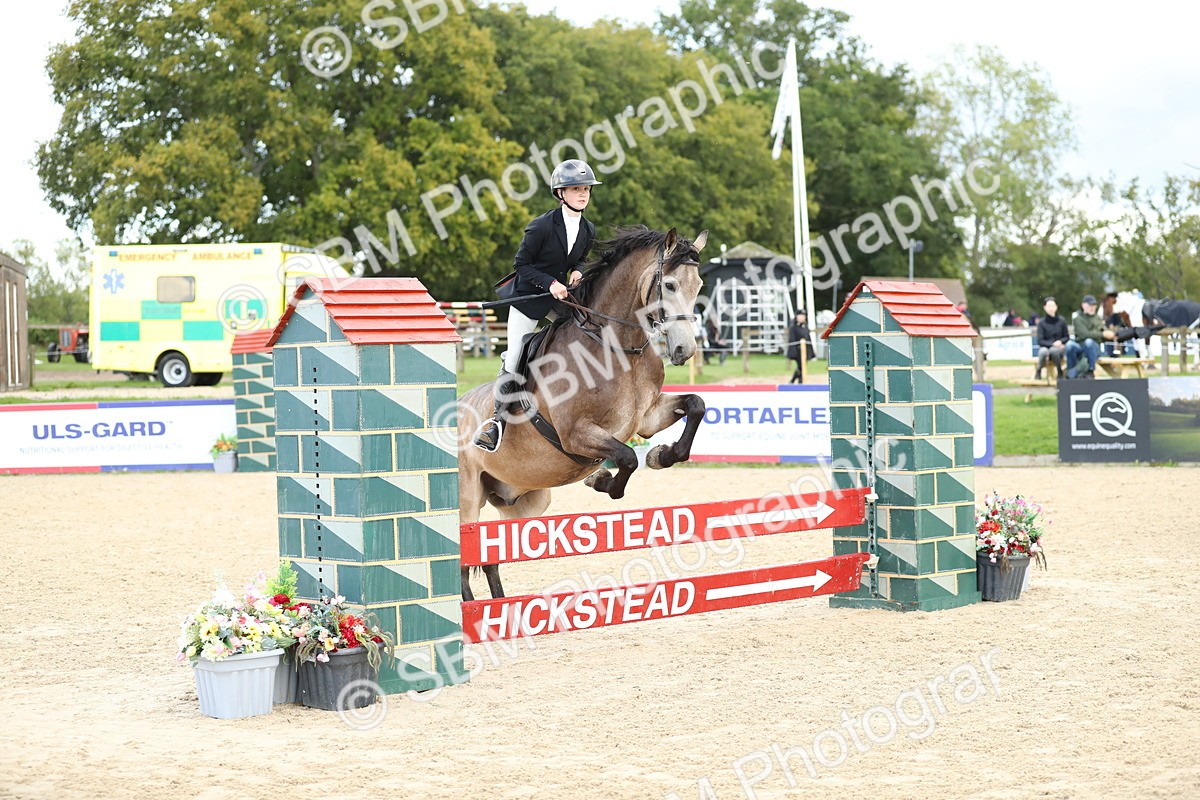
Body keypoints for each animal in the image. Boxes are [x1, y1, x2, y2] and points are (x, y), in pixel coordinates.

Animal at [457, 226, 709, 601]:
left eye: (699, 285)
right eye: (670, 285)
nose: (684, 350)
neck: (616, 346)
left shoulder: (646, 418)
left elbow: (695, 406)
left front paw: (661, 455)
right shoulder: (576, 435)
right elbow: (626, 459)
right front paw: (601, 480)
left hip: (523, 502)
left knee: (492, 556)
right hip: (467, 499)